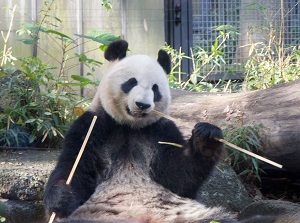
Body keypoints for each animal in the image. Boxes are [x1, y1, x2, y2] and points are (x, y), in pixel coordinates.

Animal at [43, 40, 238, 223]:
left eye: (155, 89)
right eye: (131, 82)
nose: (143, 105)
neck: (129, 127)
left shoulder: (159, 131)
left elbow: (178, 176)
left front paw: (207, 138)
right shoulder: (93, 127)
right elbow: (75, 167)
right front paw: (62, 197)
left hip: (186, 214)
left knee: (219, 219)